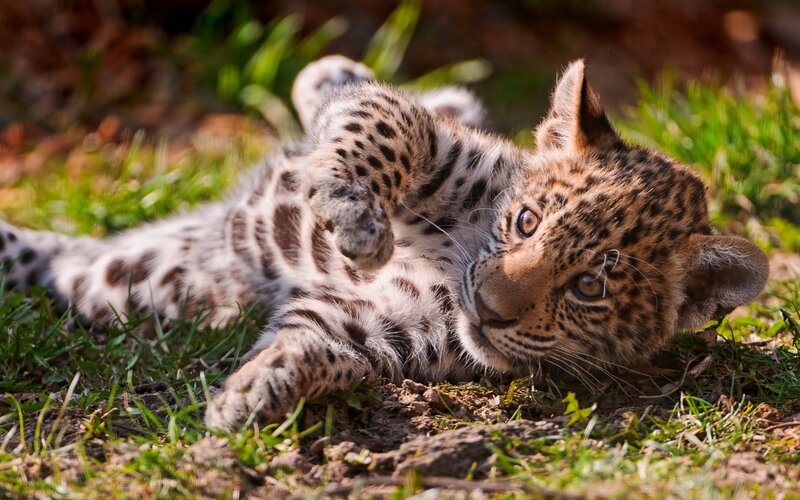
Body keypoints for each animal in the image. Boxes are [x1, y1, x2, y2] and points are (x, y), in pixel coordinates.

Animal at [0, 55, 769, 431]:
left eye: (589, 287)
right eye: (527, 223)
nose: (487, 306)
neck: (457, 263)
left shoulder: (385, 328)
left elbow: (318, 343)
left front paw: (256, 390)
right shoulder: (442, 148)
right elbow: (388, 120)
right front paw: (354, 220)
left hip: (126, 280)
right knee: (355, 87)